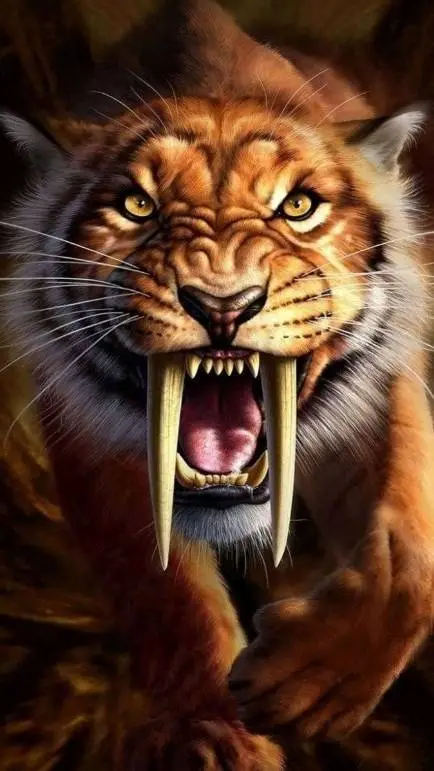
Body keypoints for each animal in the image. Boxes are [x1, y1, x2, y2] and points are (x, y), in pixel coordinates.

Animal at [1, 0, 434, 768]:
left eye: (298, 206)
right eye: (137, 205)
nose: (223, 303)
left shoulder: (380, 390)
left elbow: (404, 557)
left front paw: (312, 683)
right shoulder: (95, 442)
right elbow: (170, 598)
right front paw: (219, 737)